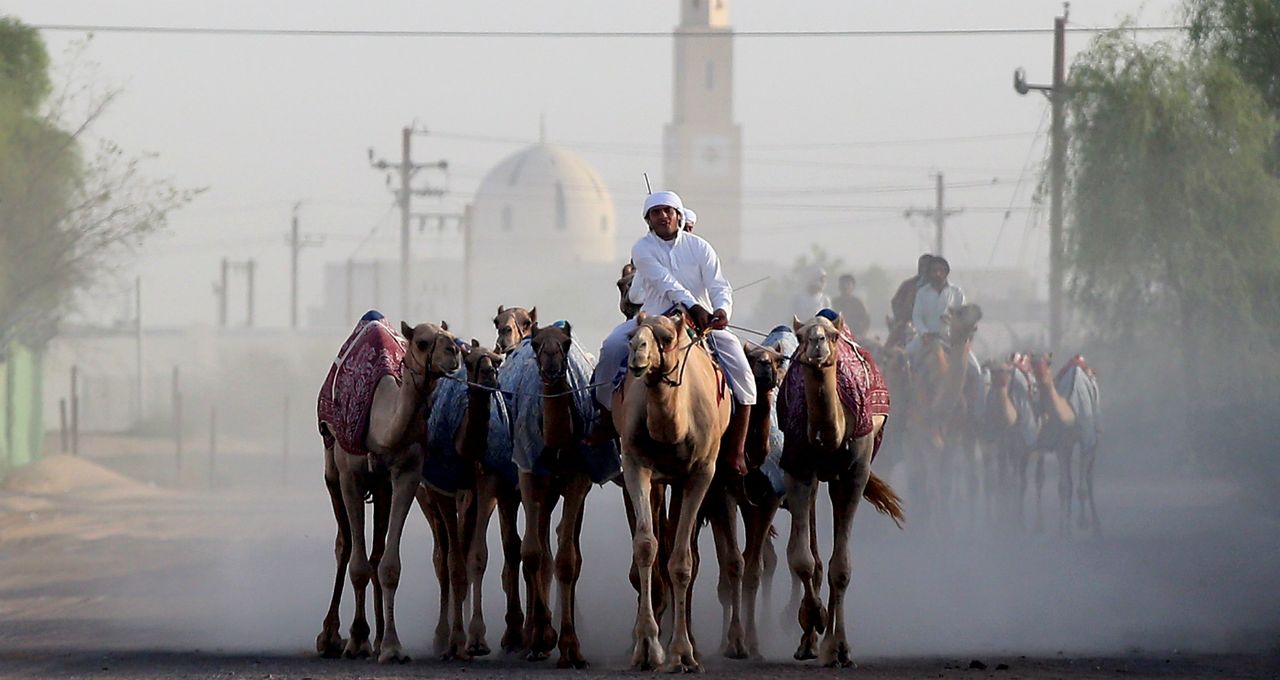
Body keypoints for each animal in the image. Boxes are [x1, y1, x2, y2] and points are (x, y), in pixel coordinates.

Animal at [314, 317, 460, 665]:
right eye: (421, 342)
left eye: (451, 336)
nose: (454, 353)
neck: (378, 426)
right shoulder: (351, 476)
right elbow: (357, 564)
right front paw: (356, 640)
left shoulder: (406, 473)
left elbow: (388, 565)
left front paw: (391, 646)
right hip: (332, 468)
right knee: (344, 544)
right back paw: (330, 636)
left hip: (382, 487)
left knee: (376, 551)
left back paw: (378, 637)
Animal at [611, 311, 732, 671]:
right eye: (633, 336)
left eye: (665, 339)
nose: (637, 352)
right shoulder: (636, 465)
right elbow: (646, 546)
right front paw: (647, 646)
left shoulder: (700, 473)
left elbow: (681, 561)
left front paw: (681, 653)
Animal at [773, 316, 906, 665]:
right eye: (802, 337)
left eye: (832, 336)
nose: (818, 344)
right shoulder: (798, 471)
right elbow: (802, 560)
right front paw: (811, 624)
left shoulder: (853, 475)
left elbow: (842, 567)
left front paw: (840, 648)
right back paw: (810, 638)